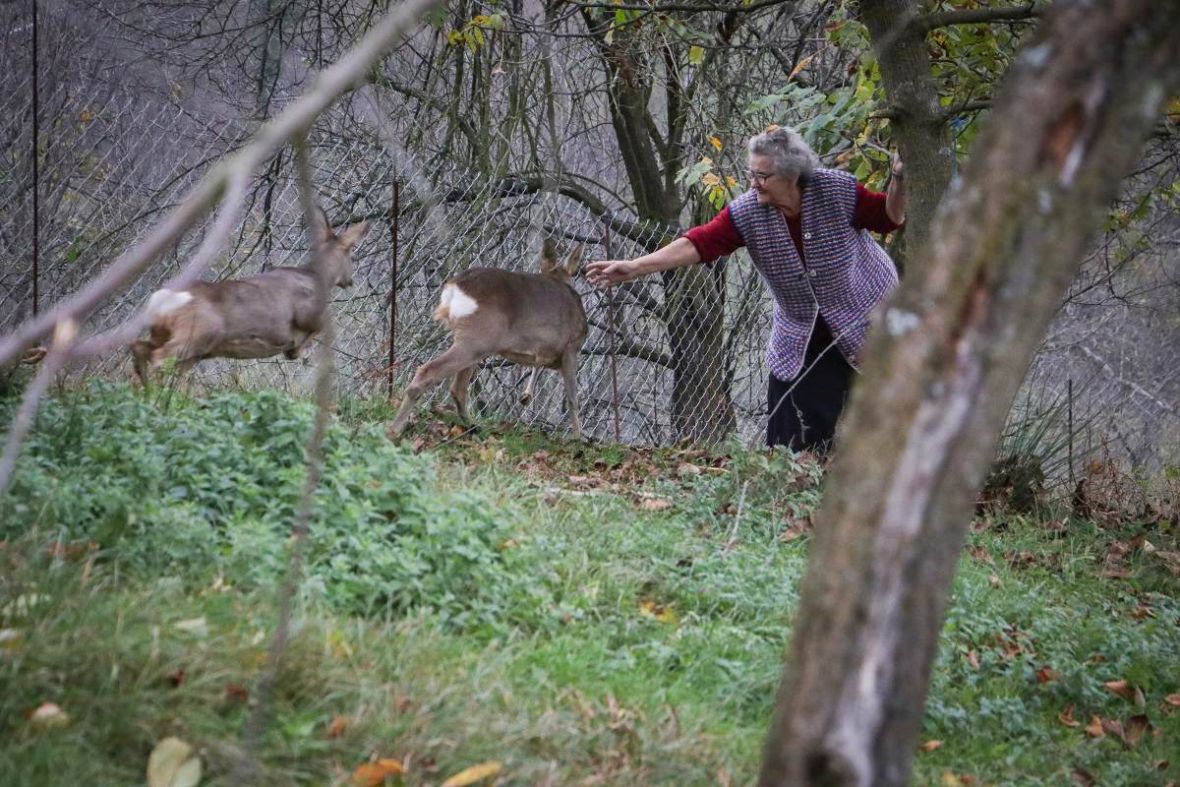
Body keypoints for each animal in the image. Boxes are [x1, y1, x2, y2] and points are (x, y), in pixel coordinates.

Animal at [128, 207, 368, 382]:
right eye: (351, 254)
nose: (350, 280)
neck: (317, 277)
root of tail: (160, 301)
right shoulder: (308, 314)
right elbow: (320, 327)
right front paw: (297, 350)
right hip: (198, 333)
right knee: (158, 359)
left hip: (182, 342)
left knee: (141, 348)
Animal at [389, 237, 587, 441]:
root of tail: (453, 288)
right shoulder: (571, 347)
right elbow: (573, 399)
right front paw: (577, 438)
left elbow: (537, 368)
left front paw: (526, 397)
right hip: (478, 339)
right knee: (429, 373)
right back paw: (395, 430)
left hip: (473, 343)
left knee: (458, 388)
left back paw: (473, 427)